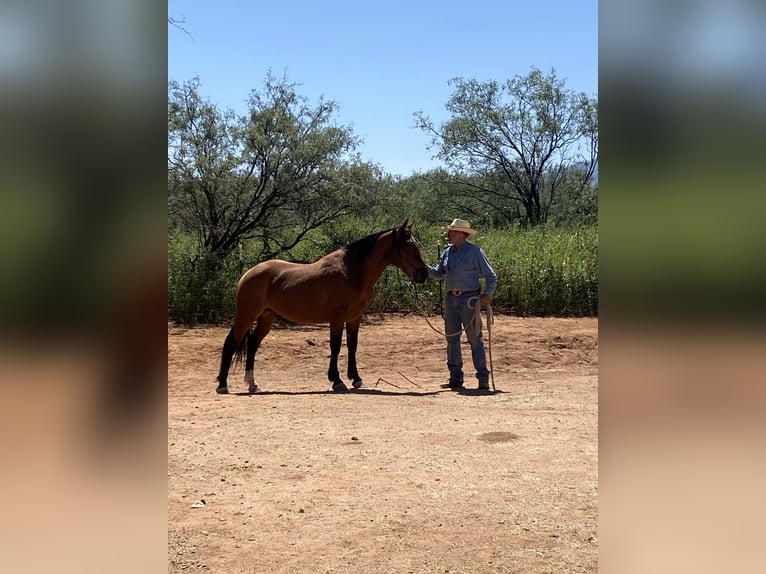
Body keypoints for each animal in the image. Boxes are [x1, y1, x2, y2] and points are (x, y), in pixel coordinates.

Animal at [218, 220, 432, 396]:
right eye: (408, 245)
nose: (423, 274)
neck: (351, 273)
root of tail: (248, 273)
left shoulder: (355, 317)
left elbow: (352, 345)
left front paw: (356, 379)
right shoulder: (336, 318)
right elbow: (336, 346)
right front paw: (337, 381)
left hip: (267, 317)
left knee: (253, 345)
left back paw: (252, 384)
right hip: (246, 315)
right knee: (231, 343)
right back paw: (222, 384)